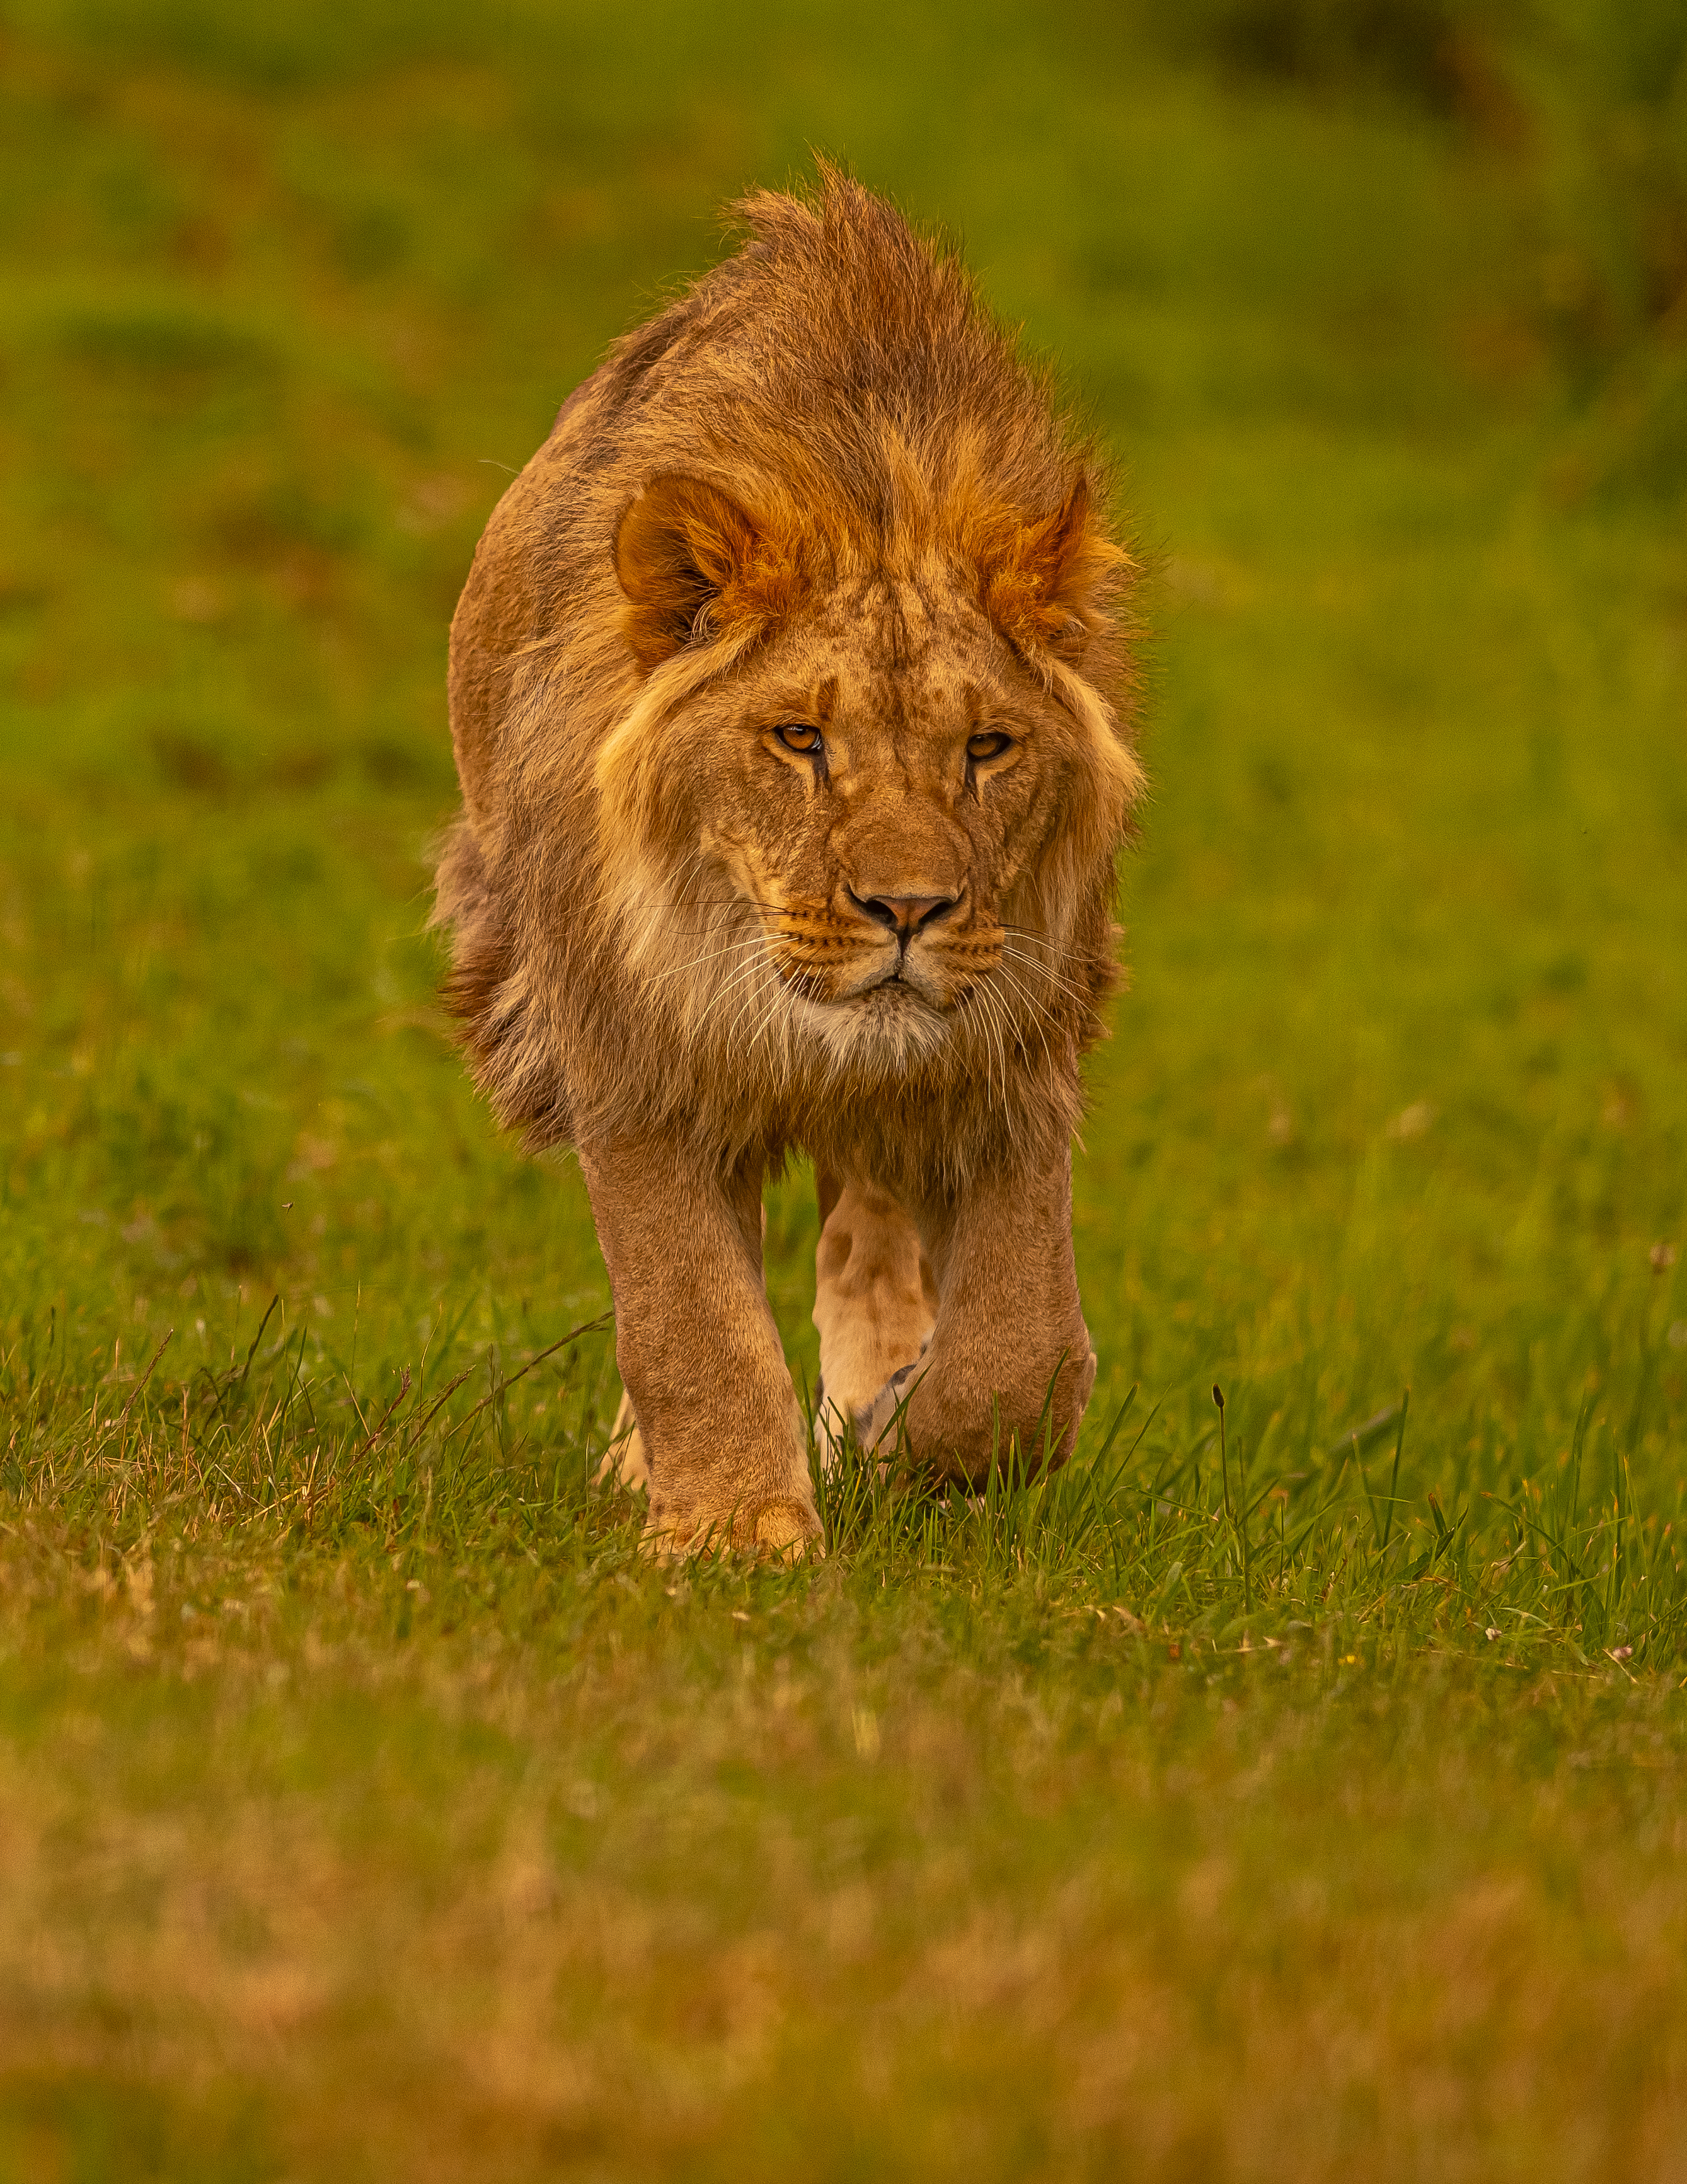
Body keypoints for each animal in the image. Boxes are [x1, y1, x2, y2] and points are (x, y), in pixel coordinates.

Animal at [433, 168, 1143, 1556]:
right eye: (799, 740)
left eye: (987, 746)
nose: (908, 909)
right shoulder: (633, 1049)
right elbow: (689, 1315)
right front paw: (732, 1529)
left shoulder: (1013, 1052)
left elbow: (1027, 1351)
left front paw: (901, 1442)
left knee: (866, 1224)